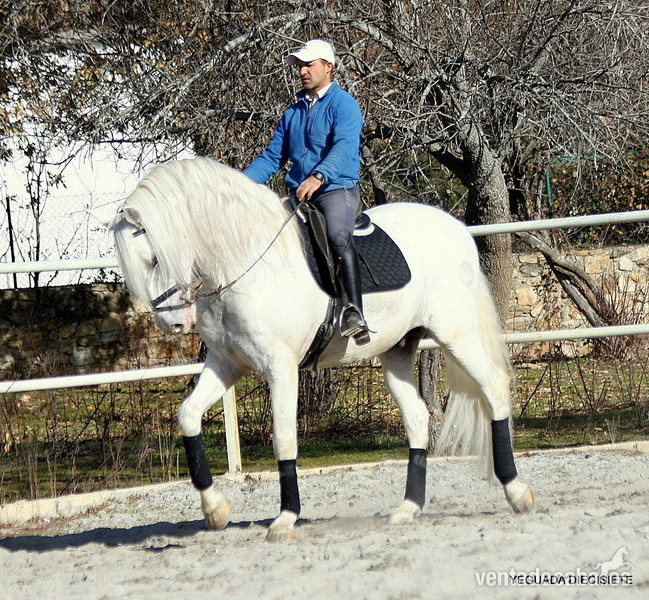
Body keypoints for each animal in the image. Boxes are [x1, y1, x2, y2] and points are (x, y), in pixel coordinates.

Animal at [109, 156, 533, 542]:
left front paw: (285, 519)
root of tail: (455, 228)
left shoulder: (280, 367)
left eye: (154, 258)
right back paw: (408, 509)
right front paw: (215, 511)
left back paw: (517, 493)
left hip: (457, 334)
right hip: (398, 349)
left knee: (494, 390)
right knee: (417, 417)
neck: (246, 261)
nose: (175, 325)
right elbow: (188, 415)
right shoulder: (228, 363)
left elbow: (283, 437)